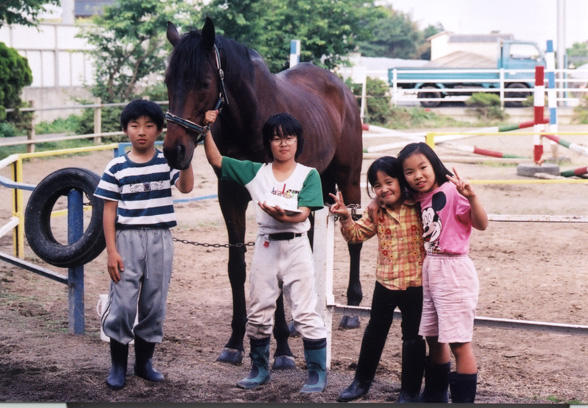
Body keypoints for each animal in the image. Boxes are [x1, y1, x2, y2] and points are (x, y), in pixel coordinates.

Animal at [162, 17, 362, 366]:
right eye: (167, 81)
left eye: (203, 82)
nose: (175, 150)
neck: (251, 118)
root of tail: (341, 89)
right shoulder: (229, 195)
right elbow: (236, 266)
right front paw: (235, 342)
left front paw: (280, 349)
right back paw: (302, 316)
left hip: (348, 179)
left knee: (353, 239)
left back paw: (351, 310)